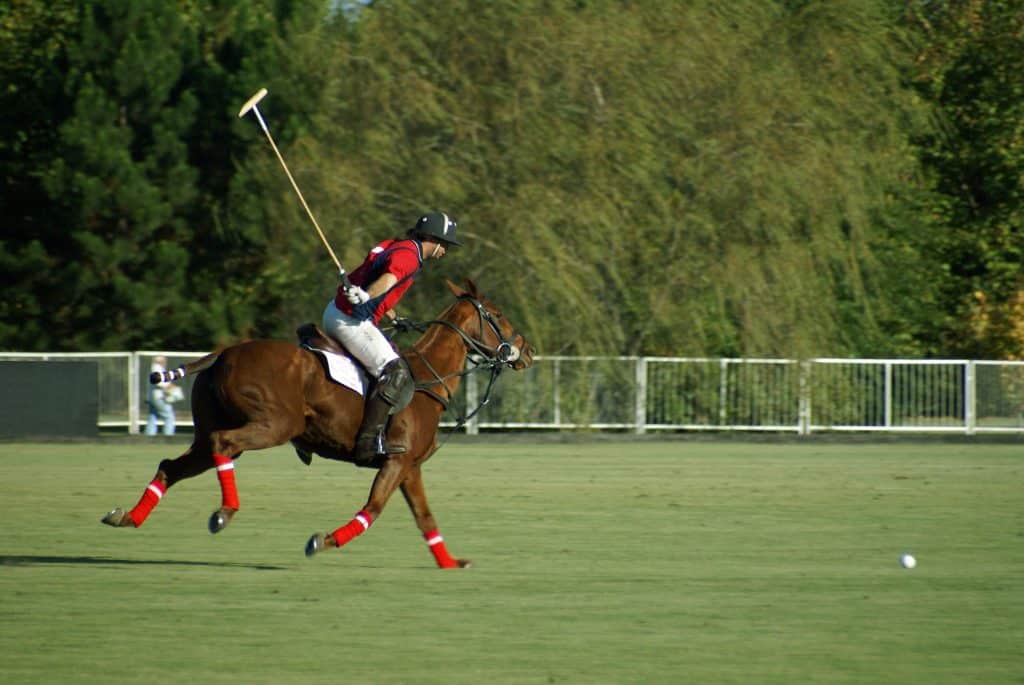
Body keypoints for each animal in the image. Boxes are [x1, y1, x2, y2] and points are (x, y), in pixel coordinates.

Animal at [103, 278, 536, 565]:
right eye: (498, 314)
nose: (527, 351)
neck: (427, 379)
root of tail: (224, 352)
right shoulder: (397, 460)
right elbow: (373, 508)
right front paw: (323, 541)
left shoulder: (410, 466)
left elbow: (424, 516)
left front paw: (450, 563)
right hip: (274, 424)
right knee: (223, 444)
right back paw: (224, 512)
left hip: (212, 427)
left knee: (173, 464)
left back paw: (127, 517)